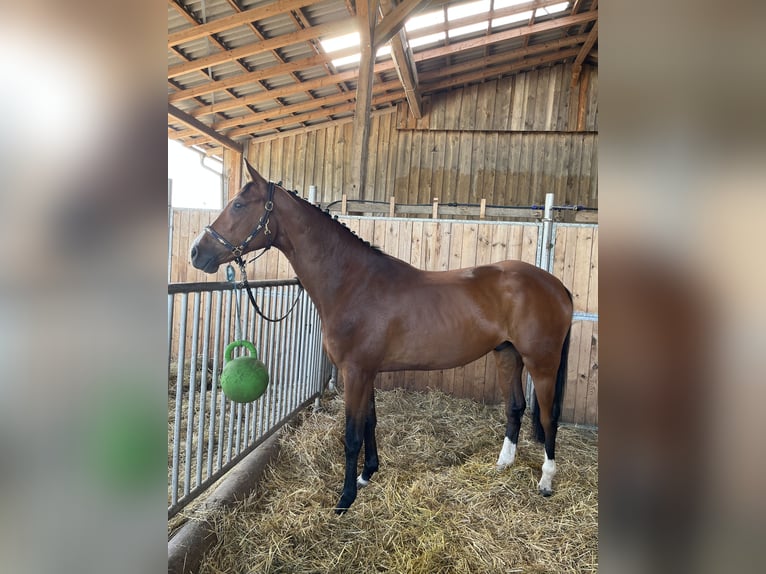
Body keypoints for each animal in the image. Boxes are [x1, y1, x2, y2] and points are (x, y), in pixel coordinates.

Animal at [192, 161, 576, 512]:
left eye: (239, 205)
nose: (198, 252)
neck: (354, 283)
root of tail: (557, 285)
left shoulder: (355, 372)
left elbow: (351, 435)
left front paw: (345, 499)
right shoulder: (367, 372)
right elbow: (370, 423)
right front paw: (367, 475)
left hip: (541, 363)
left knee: (548, 416)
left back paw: (546, 481)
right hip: (507, 353)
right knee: (515, 407)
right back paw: (503, 464)